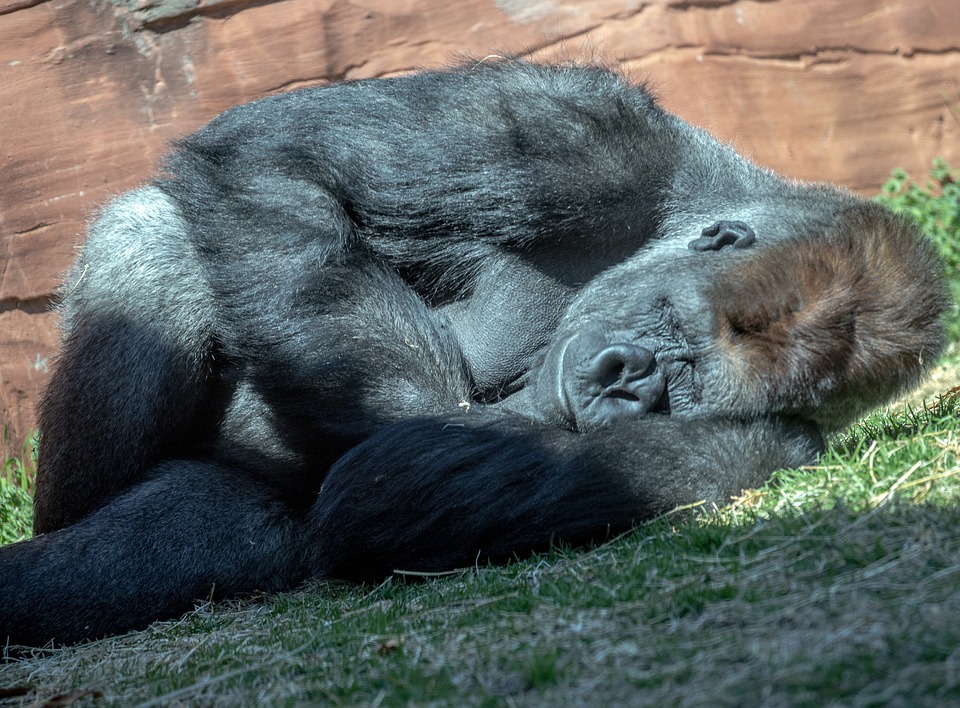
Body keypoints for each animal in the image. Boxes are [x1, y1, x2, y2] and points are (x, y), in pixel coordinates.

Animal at [0, 60, 944, 648]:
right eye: (668, 327)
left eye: (687, 386)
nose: (626, 382)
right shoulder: (597, 137)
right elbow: (279, 161)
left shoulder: (783, 445)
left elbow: (393, 489)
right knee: (157, 236)